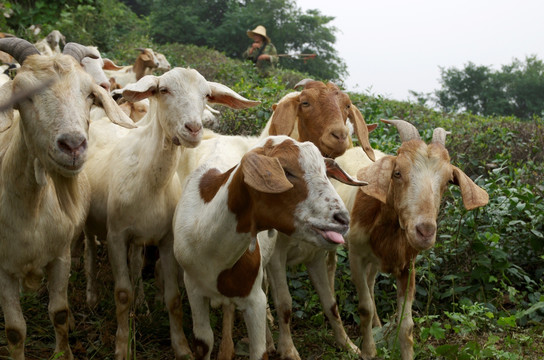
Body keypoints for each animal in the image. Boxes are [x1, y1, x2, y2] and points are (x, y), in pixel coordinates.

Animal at [0, 38, 135, 360]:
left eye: (89, 94)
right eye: (22, 93)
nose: (72, 145)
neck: (31, 210)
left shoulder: (59, 255)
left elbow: (58, 312)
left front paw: (64, 351)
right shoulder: (3, 268)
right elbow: (14, 330)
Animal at [83, 67, 260, 360]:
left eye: (207, 95)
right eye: (163, 90)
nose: (194, 129)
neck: (150, 183)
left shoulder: (166, 240)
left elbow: (174, 299)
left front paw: (182, 347)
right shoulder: (116, 235)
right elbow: (122, 294)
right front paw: (122, 346)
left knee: (136, 263)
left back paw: (142, 306)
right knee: (89, 250)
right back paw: (92, 297)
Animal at [173, 136, 366, 360]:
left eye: (326, 173)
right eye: (286, 172)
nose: (343, 219)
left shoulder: (255, 296)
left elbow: (330, 304)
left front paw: (349, 346)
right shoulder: (193, 289)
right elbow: (204, 342)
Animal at [334, 119, 490, 360]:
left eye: (448, 181)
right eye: (397, 173)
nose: (425, 232)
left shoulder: (408, 266)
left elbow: (406, 325)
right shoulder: (356, 255)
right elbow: (364, 308)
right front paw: (368, 351)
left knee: (371, 283)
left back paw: (378, 325)